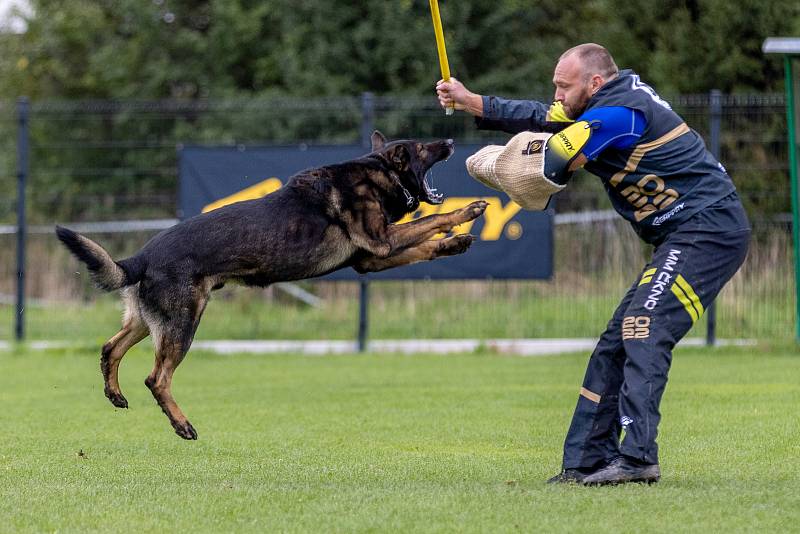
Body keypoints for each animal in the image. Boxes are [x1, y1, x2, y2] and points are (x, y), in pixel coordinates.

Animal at [54, 132, 488, 442]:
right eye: (423, 146)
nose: (451, 141)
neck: (376, 174)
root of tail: (142, 256)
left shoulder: (372, 259)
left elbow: (425, 245)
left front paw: (453, 243)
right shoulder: (382, 243)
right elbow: (430, 222)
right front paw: (465, 213)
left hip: (149, 321)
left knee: (110, 348)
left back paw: (115, 394)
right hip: (183, 323)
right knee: (156, 378)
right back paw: (182, 424)